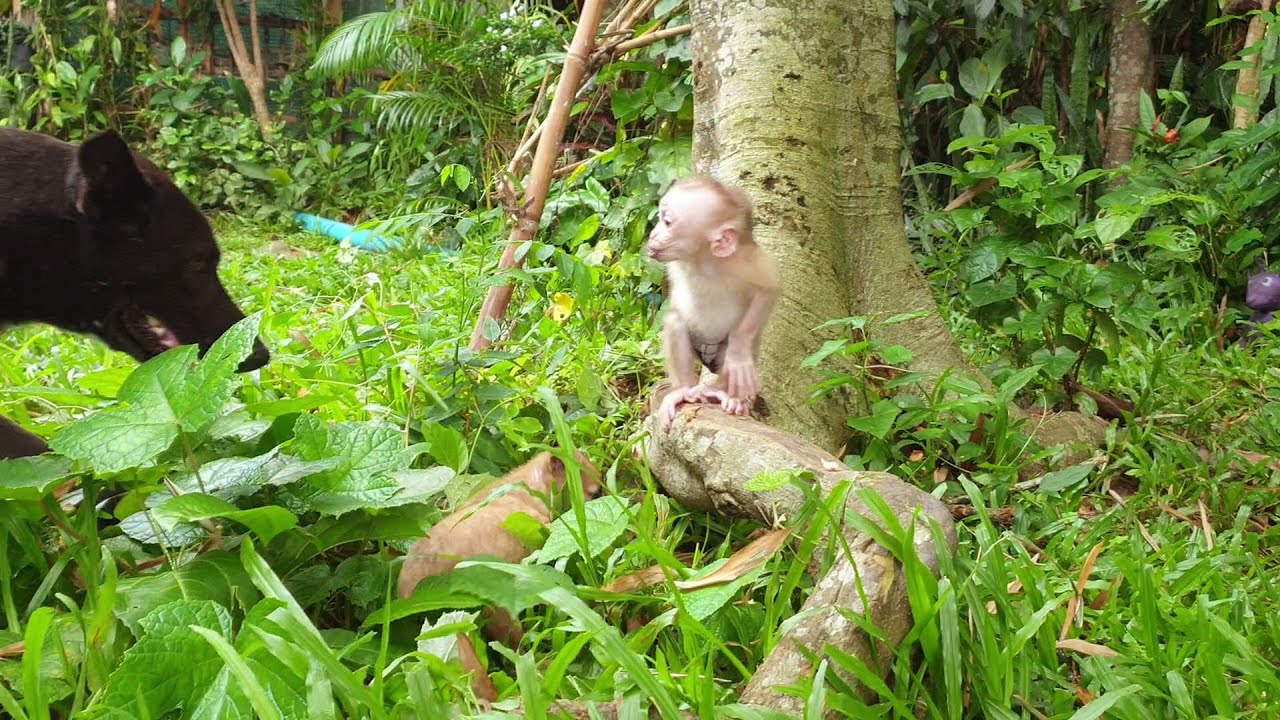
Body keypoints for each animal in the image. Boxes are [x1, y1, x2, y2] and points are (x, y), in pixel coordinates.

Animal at [646, 175, 779, 429]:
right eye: (660, 220)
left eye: (667, 222)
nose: (652, 235)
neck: (702, 259)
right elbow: (676, 308)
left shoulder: (745, 260)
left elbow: (768, 288)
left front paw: (738, 352)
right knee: (677, 320)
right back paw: (685, 390)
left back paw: (721, 393)